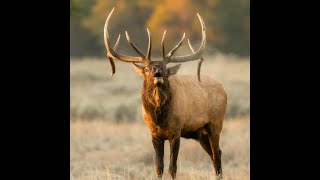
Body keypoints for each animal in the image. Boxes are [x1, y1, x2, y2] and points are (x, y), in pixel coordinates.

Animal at [104, 7, 226, 179]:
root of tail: (223, 89)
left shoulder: (176, 131)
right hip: (201, 133)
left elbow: (172, 167)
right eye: (146, 69)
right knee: (215, 154)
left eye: (164, 68)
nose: (157, 73)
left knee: (217, 154)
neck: (160, 118)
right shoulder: (154, 134)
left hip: (215, 123)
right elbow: (159, 166)